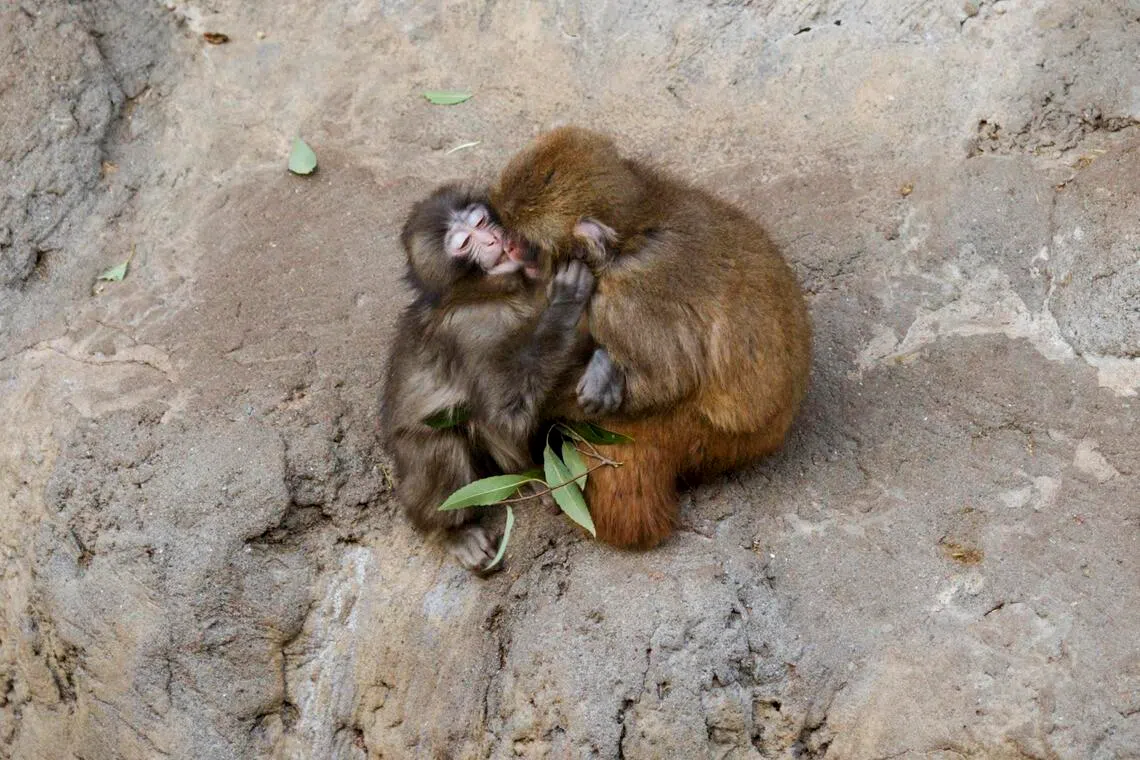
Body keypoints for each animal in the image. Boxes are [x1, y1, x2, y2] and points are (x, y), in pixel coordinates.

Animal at [380, 183, 607, 571]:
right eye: (463, 244)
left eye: (480, 221)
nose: (490, 240)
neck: (500, 289)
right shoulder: (469, 329)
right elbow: (504, 412)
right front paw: (564, 304)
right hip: (413, 454)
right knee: (444, 441)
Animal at [490, 126, 813, 550]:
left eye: (525, 245)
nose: (504, 248)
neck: (627, 235)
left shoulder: (621, 302)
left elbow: (668, 379)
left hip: (697, 437)